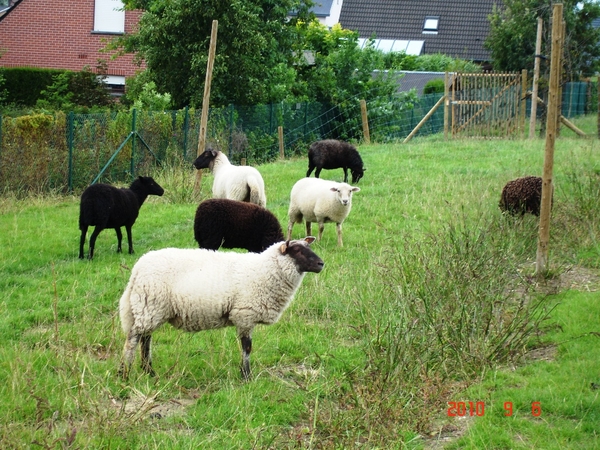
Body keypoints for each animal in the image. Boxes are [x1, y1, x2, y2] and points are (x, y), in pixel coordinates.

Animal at [118, 237, 324, 382]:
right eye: (297, 250)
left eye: (308, 248)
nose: (321, 264)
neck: (265, 271)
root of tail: (137, 269)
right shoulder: (245, 314)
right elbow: (247, 348)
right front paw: (246, 376)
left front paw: (244, 373)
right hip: (150, 306)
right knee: (133, 340)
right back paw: (124, 373)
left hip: (150, 309)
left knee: (145, 339)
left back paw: (149, 371)